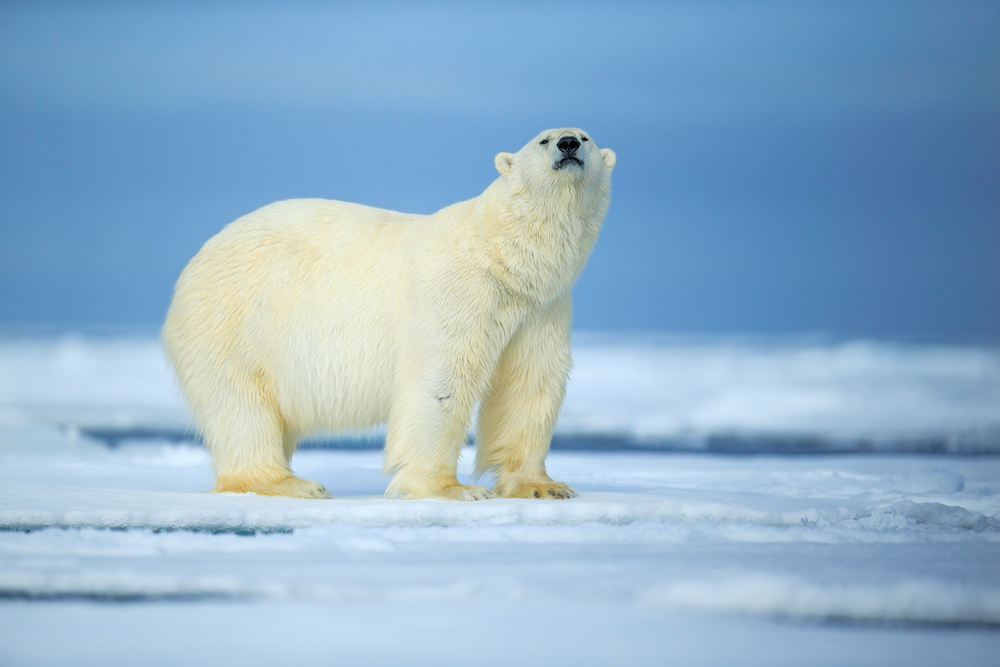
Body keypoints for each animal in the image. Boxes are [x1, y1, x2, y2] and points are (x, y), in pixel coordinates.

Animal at [163, 128, 612, 498]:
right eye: (543, 139)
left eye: (586, 136)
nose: (568, 144)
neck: (503, 254)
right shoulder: (455, 291)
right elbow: (441, 380)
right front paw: (452, 489)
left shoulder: (542, 308)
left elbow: (529, 383)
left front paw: (543, 487)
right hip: (233, 323)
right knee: (241, 409)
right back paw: (289, 483)